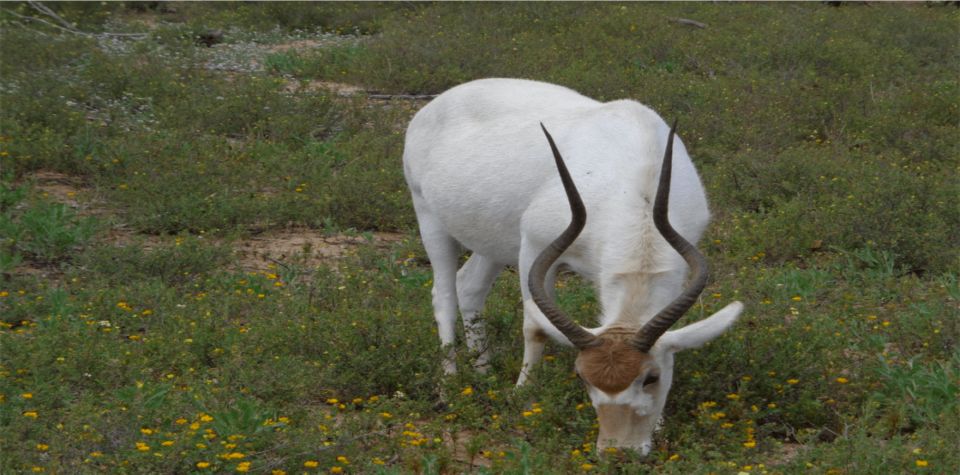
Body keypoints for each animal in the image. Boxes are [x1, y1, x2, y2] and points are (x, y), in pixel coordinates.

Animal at [402, 79, 748, 454]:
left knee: (469, 287)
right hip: (430, 218)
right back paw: (449, 386)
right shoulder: (535, 246)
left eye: (652, 376)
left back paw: (482, 372)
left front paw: (659, 427)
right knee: (444, 296)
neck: (638, 177)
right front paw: (523, 396)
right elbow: (534, 326)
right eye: (582, 377)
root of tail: (433, 106)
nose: (618, 450)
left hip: (493, 243)